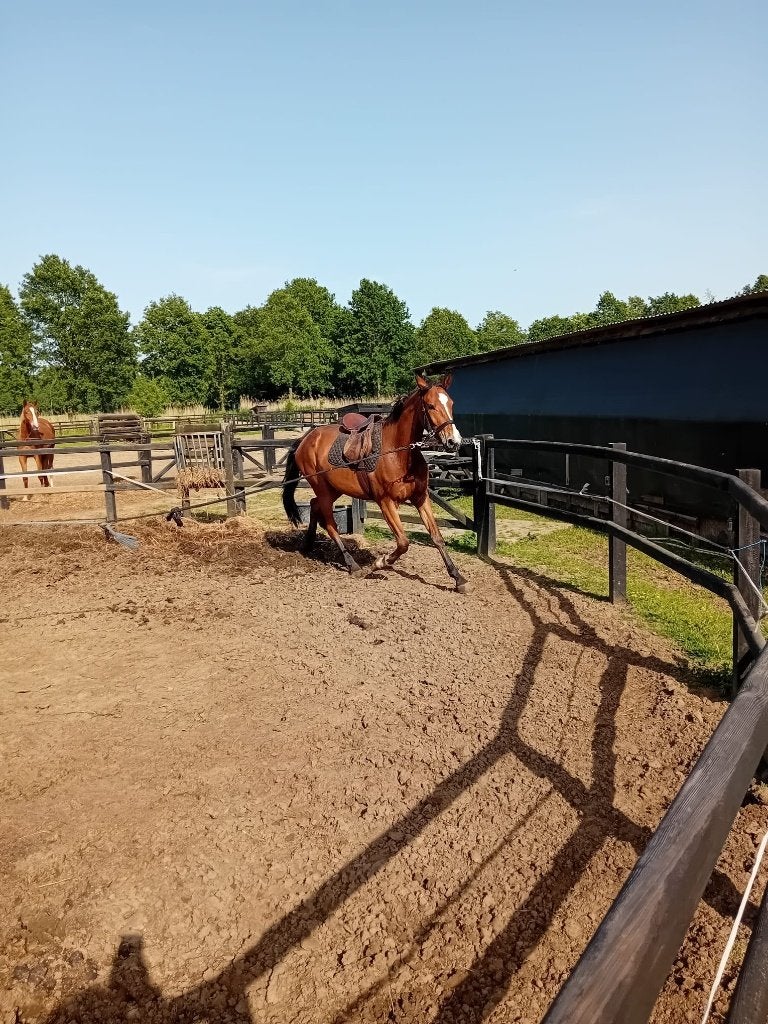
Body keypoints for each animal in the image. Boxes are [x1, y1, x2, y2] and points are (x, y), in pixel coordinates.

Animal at [282, 374, 471, 593]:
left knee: (313, 506)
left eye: (451, 403)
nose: (454, 442)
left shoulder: (421, 498)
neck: (398, 453)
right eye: (431, 406)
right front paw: (379, 563)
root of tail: (305, 439)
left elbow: (437, 537)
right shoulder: (386, 502)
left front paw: (458, 578)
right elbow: (403, 542)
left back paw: (308, 545)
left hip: (333, 489)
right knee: (330, 524)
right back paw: (353, 565)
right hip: (323, 489)